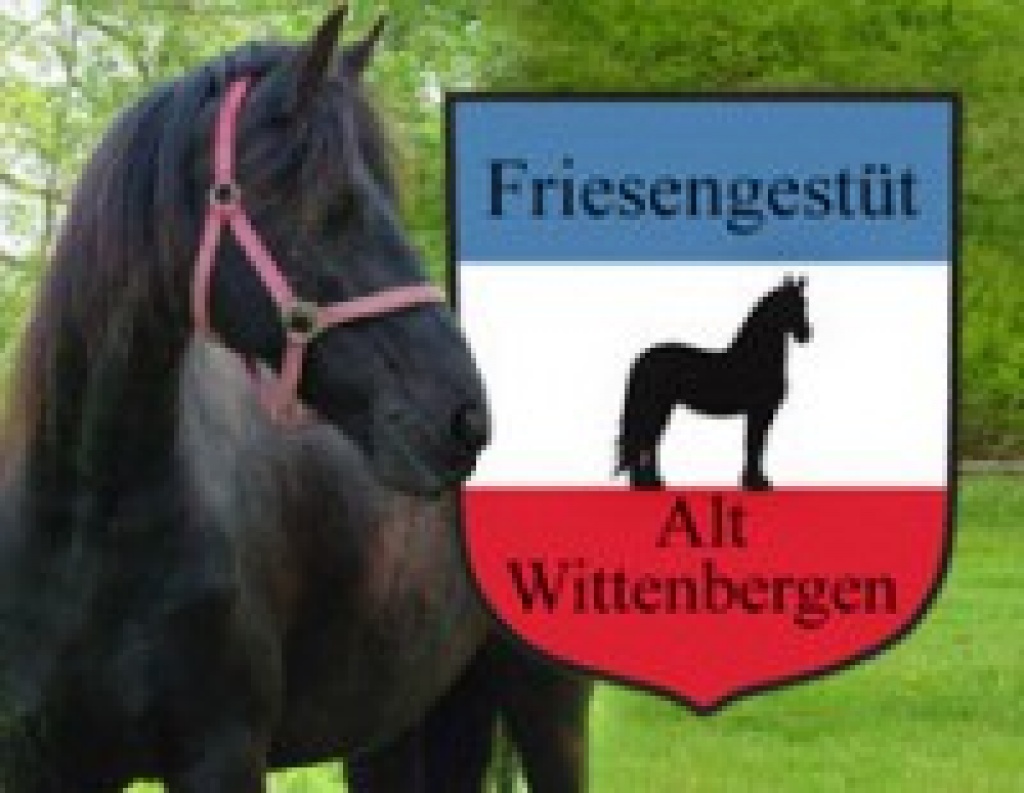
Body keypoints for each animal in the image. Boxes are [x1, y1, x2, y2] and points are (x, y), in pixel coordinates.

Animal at [615, 276, 811, 490]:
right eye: (791, 305)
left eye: (804, 303)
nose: (806, 335)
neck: (756, 357)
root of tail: (643, 358)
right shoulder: (760, 410)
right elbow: (755, 443)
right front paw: (756, 483)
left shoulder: (759, 411)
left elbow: (754, 444)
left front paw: (753, 481)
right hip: (657, 407)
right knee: (644, 441)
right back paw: (648, 485)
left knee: (648, 442)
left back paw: (652, 484)